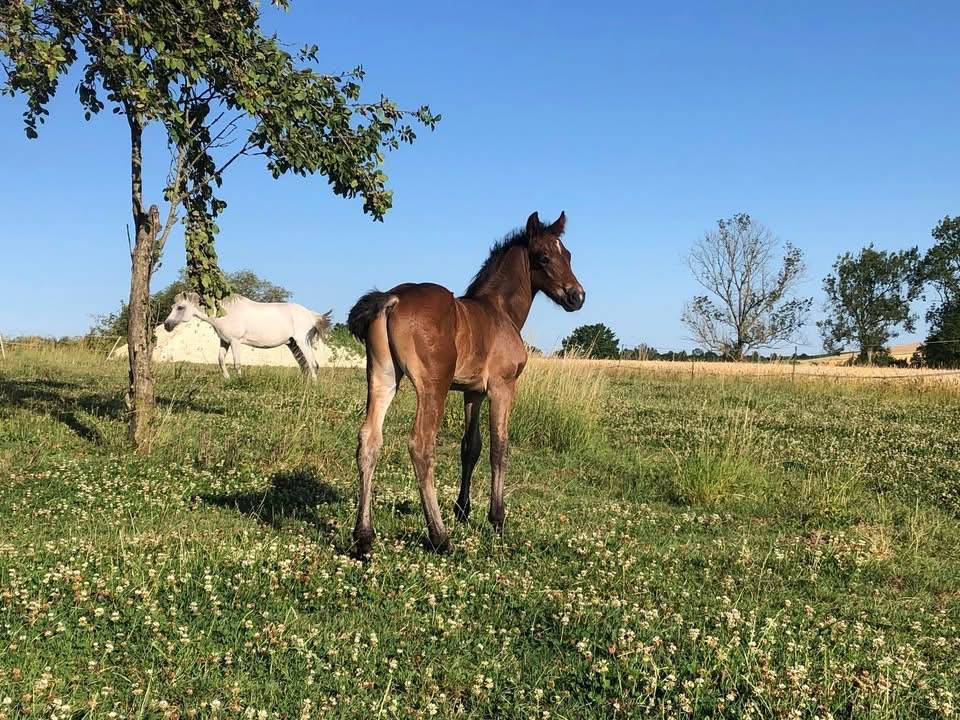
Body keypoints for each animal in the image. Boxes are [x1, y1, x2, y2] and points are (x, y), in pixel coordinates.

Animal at [162, 292, 332, 380]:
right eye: (173, 306)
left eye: (180, 307)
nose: (167, 325)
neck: (225, 312)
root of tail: (312, 315)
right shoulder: (225, 341)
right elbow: (220, 360)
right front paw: (227, 379)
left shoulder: (235, 342)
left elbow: (237, 363)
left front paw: (239, 380)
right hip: (293, 344)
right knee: (305, 365)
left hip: (302, 342)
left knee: (312, 364)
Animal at [346, 211, 585, 555]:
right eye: (543, 257)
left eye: (568, 255)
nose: (577, 296)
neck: (500, 311)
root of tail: (392, 298)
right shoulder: (502, 386)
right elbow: (499, 446)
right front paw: (497, 519)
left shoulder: (472, 393)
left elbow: (471, 446)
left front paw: (463, 510)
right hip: (433, 386)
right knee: (421, 445)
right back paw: (439, 537)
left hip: (383, 376)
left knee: (369, 440)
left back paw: (364, 537)